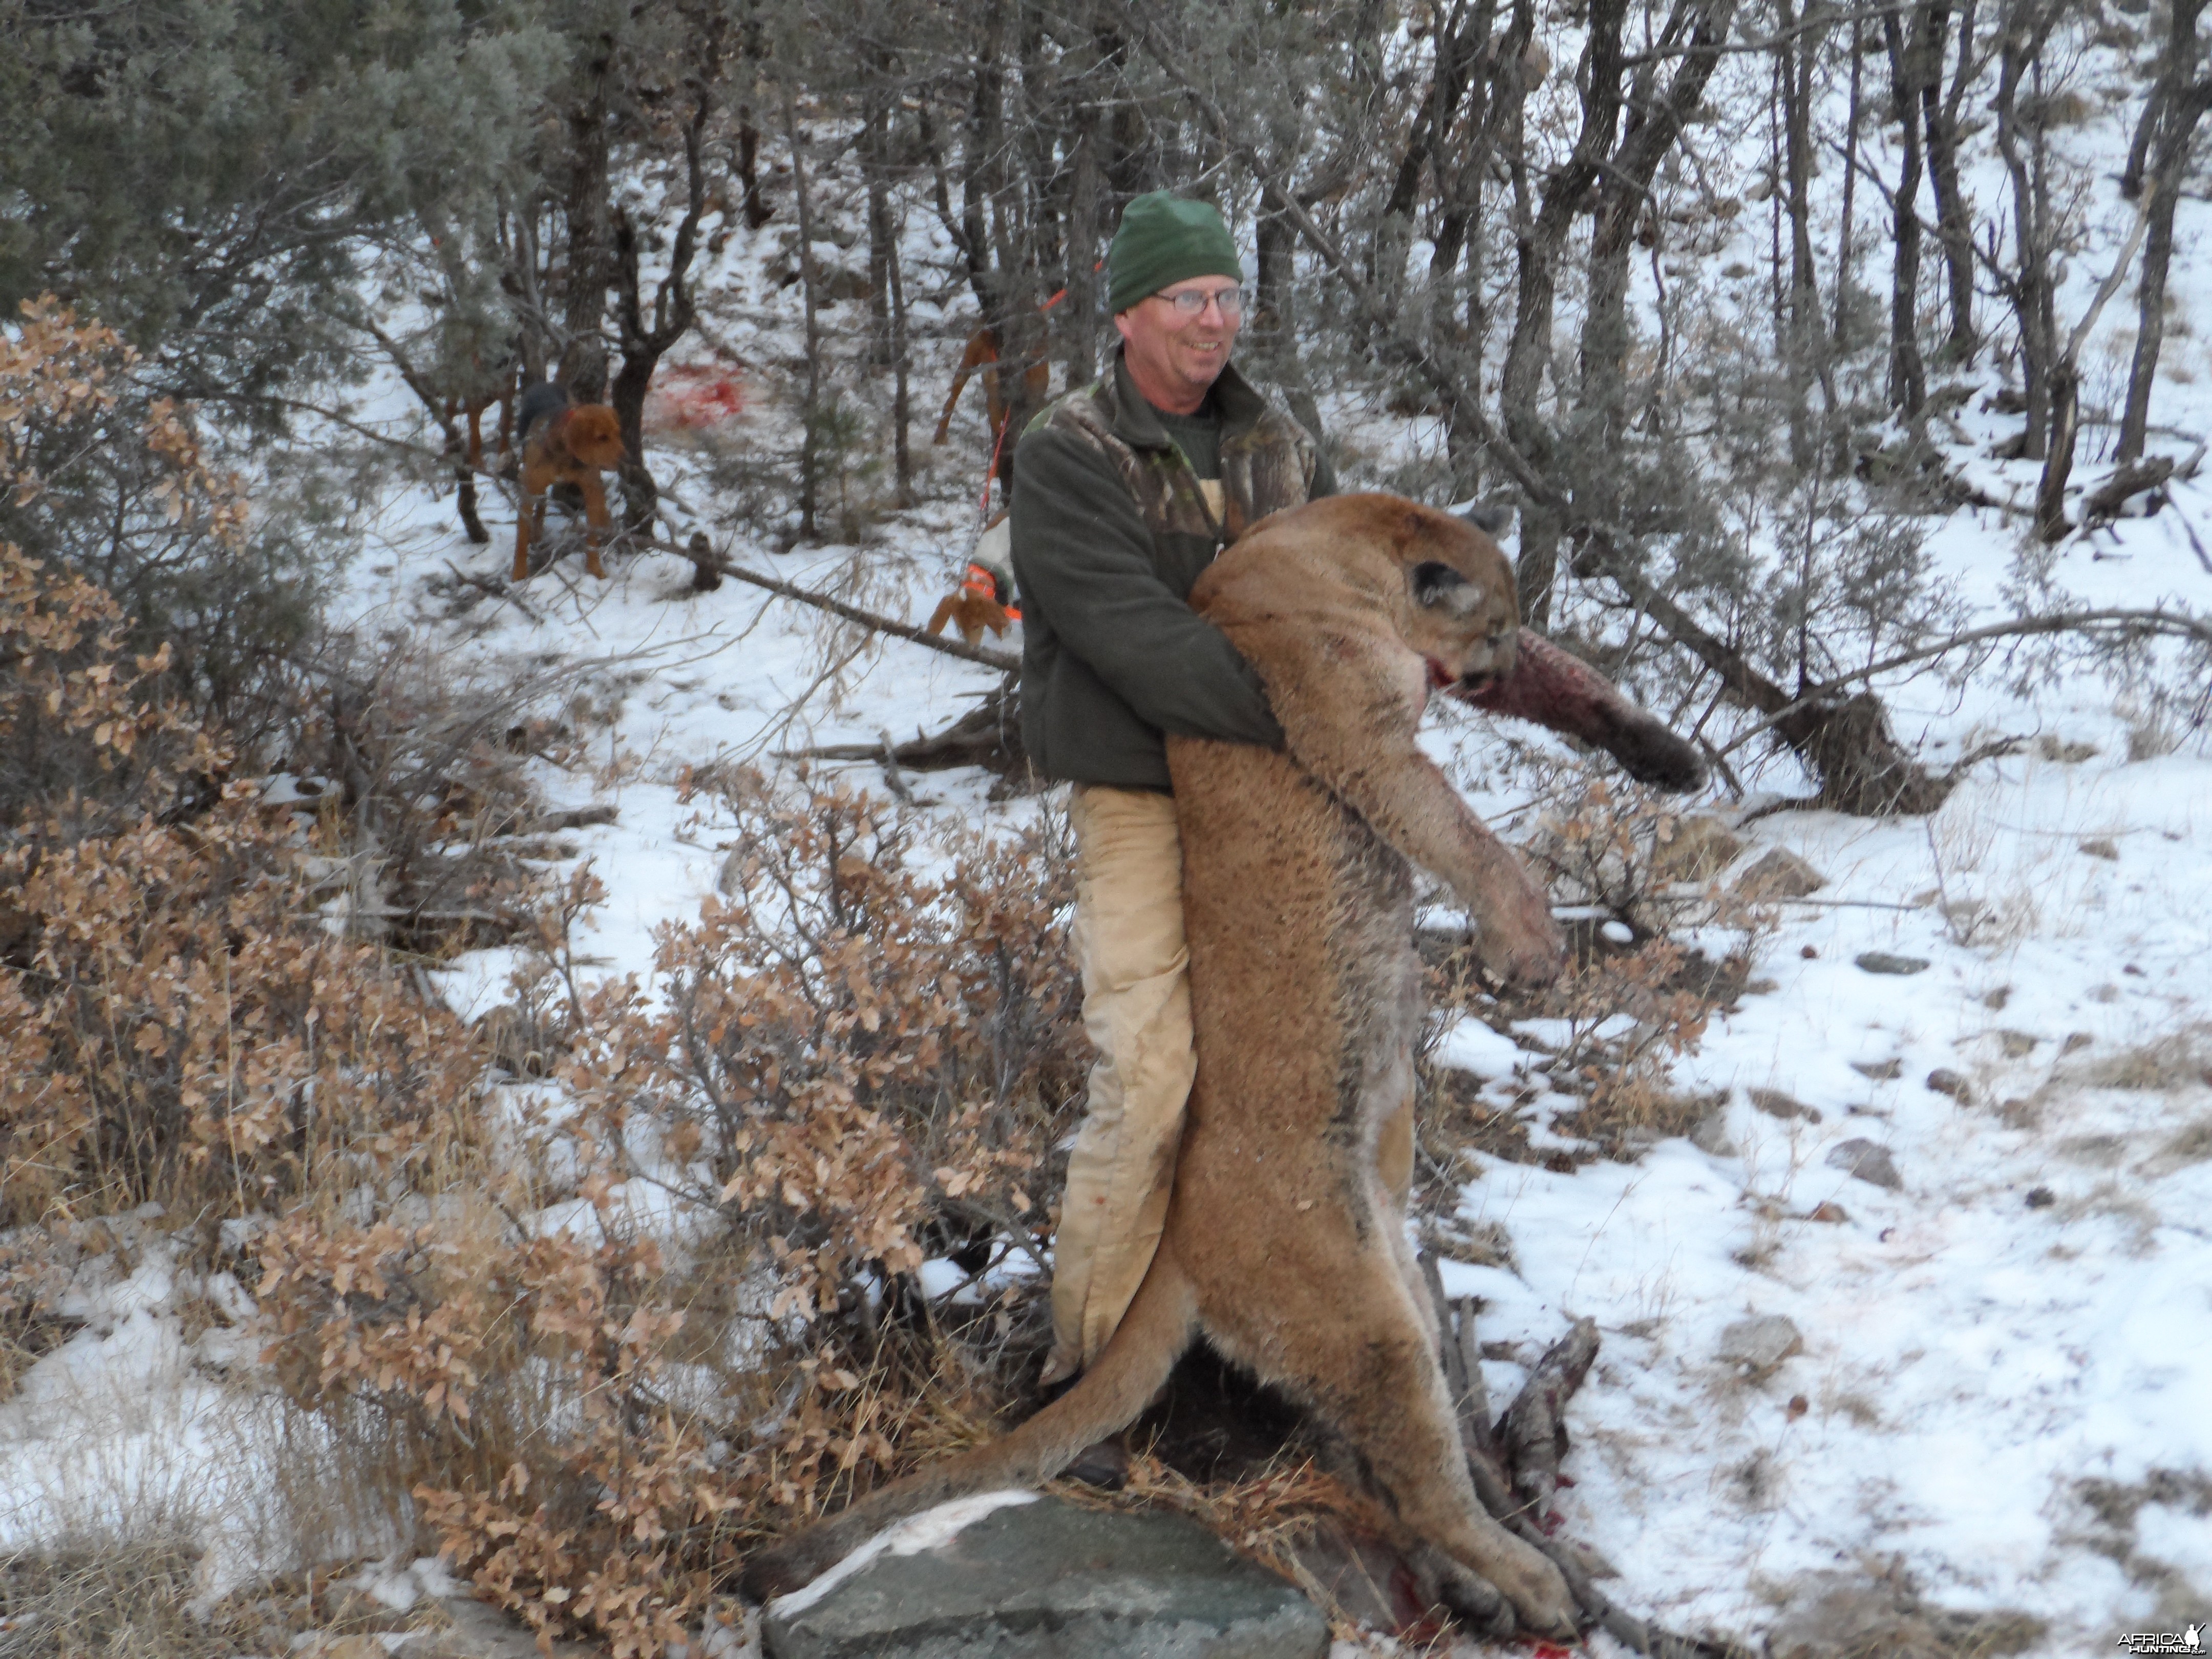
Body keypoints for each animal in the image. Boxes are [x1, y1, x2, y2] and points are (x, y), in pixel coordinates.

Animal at [513, 382, 628, 584]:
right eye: (602, 437)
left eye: (617, 433)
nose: (627, 460)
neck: (565, 455)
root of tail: (545, 384)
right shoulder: (528, 491)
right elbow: (521, 536)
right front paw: (518, 573)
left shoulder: (591, 488)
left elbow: (592, 536)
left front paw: (595, 568)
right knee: (541, 503)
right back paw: (537, 532)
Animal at [743, 493, 1708, 1636]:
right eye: (1496, 626)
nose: (1489, 670)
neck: (1343, 544)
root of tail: (1180, 1246)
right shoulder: (1354, 733)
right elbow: (1462, 832)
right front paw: (1526, 943)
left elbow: (1572, 696)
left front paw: (1664, 754)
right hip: (1365, 1325)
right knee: (1418, 1473)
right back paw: (1532, 1585)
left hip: (1394, 1286)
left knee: (1395, 1471)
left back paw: (1484, 1580)